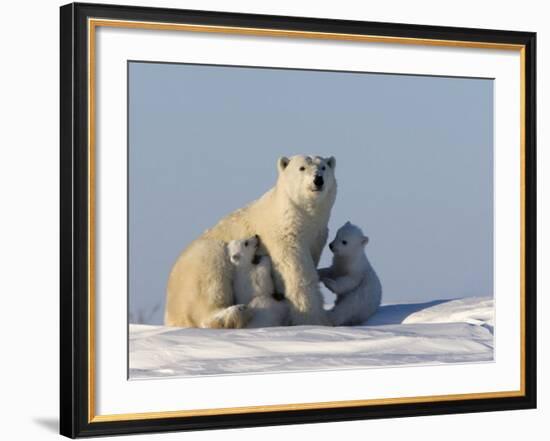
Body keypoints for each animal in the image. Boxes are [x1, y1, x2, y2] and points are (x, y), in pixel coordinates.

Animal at [165, 155, 336, 326]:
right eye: (302, 168)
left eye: (323, 167)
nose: (318, 179)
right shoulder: (284, 235)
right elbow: (296, 272)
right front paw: (314, 319)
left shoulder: (317, 235)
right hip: (200, 265)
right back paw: (236, 311)